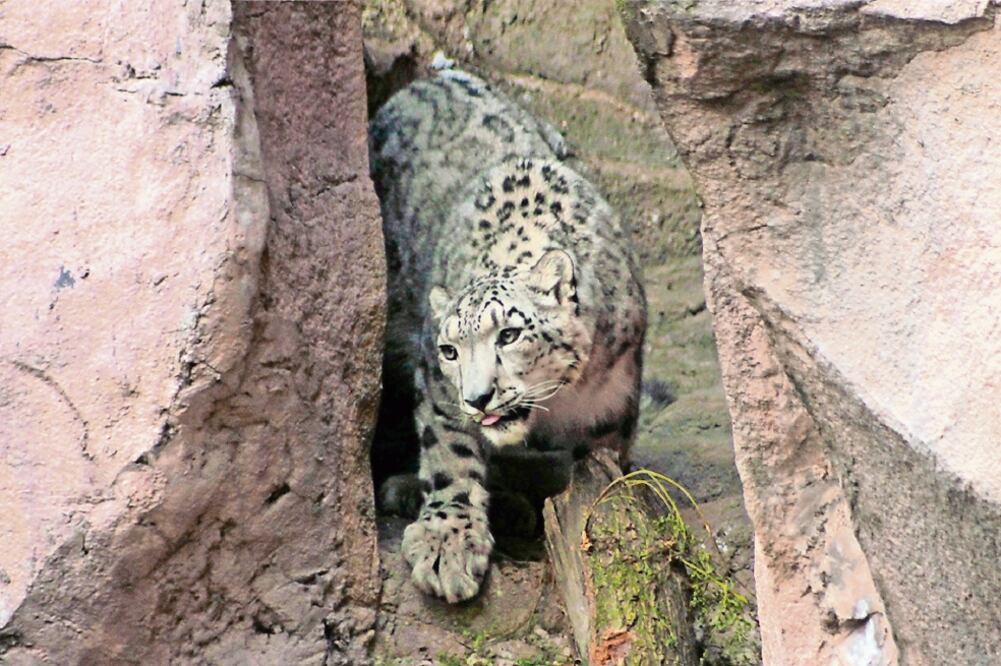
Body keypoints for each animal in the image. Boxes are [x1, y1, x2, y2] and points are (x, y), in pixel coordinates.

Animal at [369, 69, 646, 603]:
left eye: (510, 334)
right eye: (450, 350)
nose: (477, 398)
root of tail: (425, 80)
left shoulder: (612, 399)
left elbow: (601, 466)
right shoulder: (437, 385)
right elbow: (450, 455)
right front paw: (446, 546)